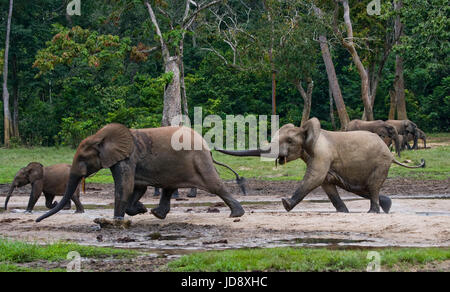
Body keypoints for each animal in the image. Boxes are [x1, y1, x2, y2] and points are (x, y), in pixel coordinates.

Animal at [35, 122, 246, 221]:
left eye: (82, 159)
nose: (37, 220)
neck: (100, 136)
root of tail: (206, 145)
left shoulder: (127, 158)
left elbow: (125, 187)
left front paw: (117, 220)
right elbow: (136, 188)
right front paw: (140, 209)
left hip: (198, 160)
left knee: (214, 185)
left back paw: (236, 214)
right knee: (169, 187)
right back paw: (156, 214)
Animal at [218, 117, 426, 213]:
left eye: (289, 141)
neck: (306, 129)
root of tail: (391, 155)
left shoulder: (321, 154)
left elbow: (314, 178)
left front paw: (285, 204)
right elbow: (326, 184)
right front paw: (343, 212)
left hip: (380, 162)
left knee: (372, 186)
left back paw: (373, 211)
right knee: (362, 187)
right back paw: (386, 205)